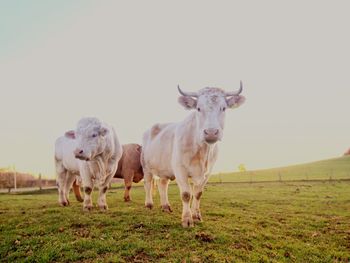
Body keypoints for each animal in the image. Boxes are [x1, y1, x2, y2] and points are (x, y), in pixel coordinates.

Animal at [141, 84, 245, 227]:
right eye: (198, 108)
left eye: (223, 108)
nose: (211, 132)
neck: (202, 151)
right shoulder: (180, 169)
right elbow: (186, 194)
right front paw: (187, 220)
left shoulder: (207, 173)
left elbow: (198, 193)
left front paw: (196, 216)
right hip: (146, 167)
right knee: (147, 184)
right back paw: (149, 204)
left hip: (165, 169)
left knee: (163, 184)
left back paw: (165, 206)